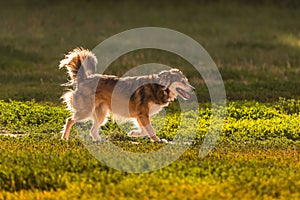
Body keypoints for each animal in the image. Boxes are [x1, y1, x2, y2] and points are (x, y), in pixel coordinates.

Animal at [59, 47, 195, 143]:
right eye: (183, 82)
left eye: (187, 81)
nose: (193, 89)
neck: (160, 87)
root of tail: (84, 79)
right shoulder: (143, 114)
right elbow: (149, 129)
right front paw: (157, 140)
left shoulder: (140, 115)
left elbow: (144, 130)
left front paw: (134, 134)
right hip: (86, 110)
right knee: (70, 120)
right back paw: (64, 138)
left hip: (101, 113)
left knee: (93, 130)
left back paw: (99, 141)